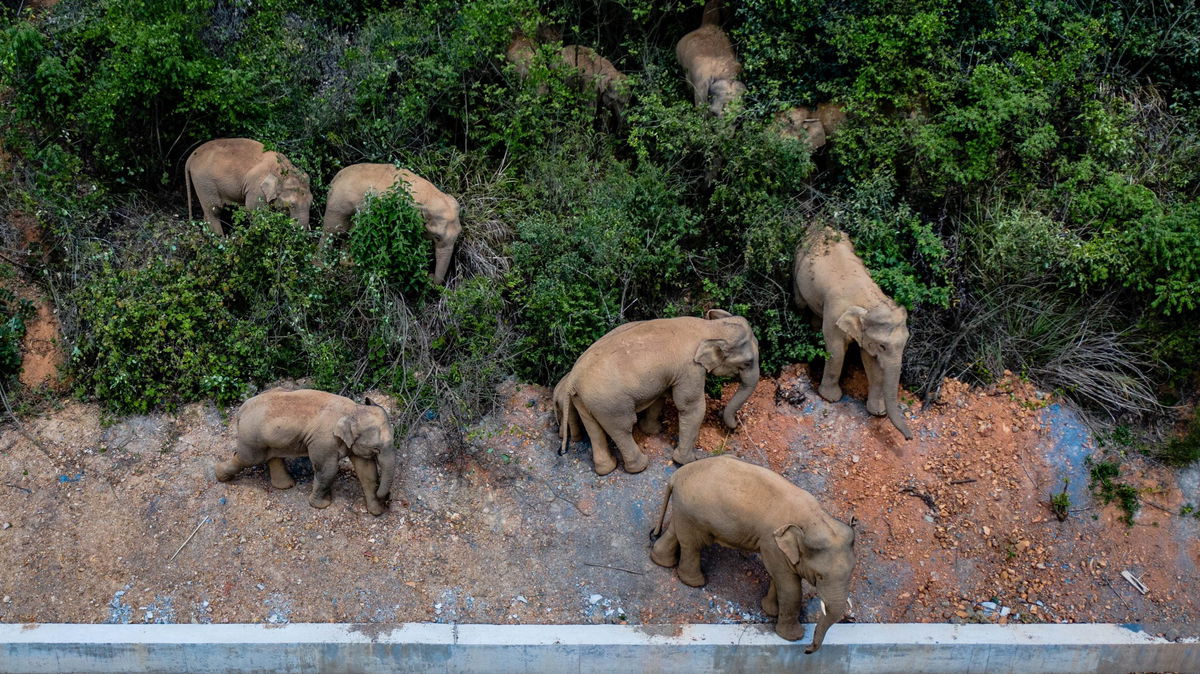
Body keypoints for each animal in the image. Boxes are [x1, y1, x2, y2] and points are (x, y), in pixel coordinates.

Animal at [216, 388, 398, 513]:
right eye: (376, 449)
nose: (388, 498)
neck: (353, 409)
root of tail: (242, 409)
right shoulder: (324, 441)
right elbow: (328, 470)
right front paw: (322, 505)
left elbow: (367, 471)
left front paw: (376, 511)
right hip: (251, 436)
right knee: (247, 458)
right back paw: (220, 475)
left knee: (272, 456)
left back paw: (286, 486)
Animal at [321, 163, 460, 283]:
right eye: (437, 237)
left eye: (459, 234)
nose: (429, 275)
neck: (432, 196)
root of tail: (335, 178)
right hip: (338, 205)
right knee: (332, 233)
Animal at [552, 309, 758, 472]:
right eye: (748, 362)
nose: (735, 425)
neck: (710, 327)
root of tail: (573, 379)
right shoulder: (690, 369)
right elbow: (691, 407)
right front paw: (687, 461)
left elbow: (660, 396)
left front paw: (654, 431)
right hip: (610, 404)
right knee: (622, 428)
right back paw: (640, 466)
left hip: (585, 400)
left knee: (594, 429)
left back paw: (606, 469)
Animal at [652, 453, 859, 647]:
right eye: (820, 576)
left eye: (851, 572)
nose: (808, 649)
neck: (815, 518)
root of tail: (677, 475)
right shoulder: (772, 543)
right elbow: (790, 587)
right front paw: (793, 637)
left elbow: (779, 577)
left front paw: (770, 610)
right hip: (694, 513)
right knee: (693, 544)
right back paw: (695, 582)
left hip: (684, 509)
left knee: (676, 532)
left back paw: (660, 560)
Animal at [792, 223, 912, 438]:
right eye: (883, 346)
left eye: (906, 342)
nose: (908, 438)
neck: (869, 301)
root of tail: (818, 224)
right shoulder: (834, 313)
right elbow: (836, 350)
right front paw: (830, 398)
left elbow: (870, 361)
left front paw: (877, 411)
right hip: (797, 263)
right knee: (800, 303)